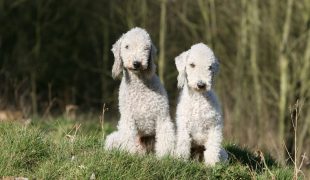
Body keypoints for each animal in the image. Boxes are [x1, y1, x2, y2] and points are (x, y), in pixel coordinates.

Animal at [105, 27, 176, 158]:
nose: (137, 63)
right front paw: (129, 154)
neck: (140, 86)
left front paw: (165, 157)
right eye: (127, 46)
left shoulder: (162, 117)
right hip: (114, 138)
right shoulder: (128, 118)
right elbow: (128, 136)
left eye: (146, 48)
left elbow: (165, 139)